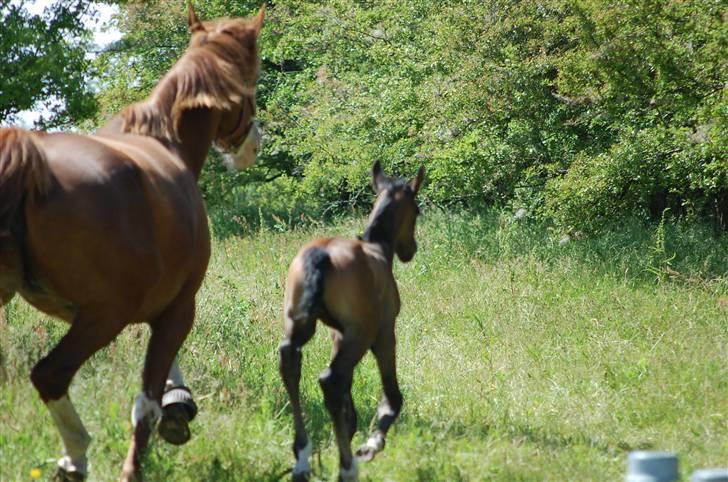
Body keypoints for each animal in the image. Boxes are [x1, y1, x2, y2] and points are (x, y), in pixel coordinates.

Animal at [0, 4, 262, 482]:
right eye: (251, 85)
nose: (254, 143)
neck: (164, 141)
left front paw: (178, 401)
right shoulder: (179, 306)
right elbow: (147, 399)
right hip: (105, 317)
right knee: (50, 375)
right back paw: (76, 454)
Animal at [278, 163, 426, 482]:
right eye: (417, 210)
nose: (411, 249)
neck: (377, 250)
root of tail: (320, 255)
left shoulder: (338, 334)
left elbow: (347, 391)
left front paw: (349, 426)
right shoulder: (383, 332)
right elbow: (392, 396)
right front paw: (371, 444)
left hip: (299, 325)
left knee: (291, 364)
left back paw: (303, 457)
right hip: (362, 334)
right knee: (330, 379)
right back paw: (347, 467)